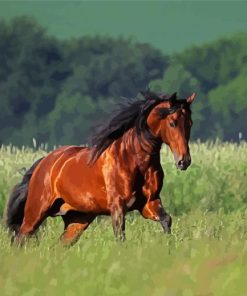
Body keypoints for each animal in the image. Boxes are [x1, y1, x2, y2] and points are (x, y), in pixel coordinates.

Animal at [5, 89, 197, 245]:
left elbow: (166, 220)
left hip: (77, 220)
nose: (184, 161)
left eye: (190, 123)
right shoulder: (118, 207)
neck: (134, 160)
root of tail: (44, 163)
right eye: (172, 122)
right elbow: (120, 236)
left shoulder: (149, 203)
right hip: (36, 213)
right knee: (20, 237)